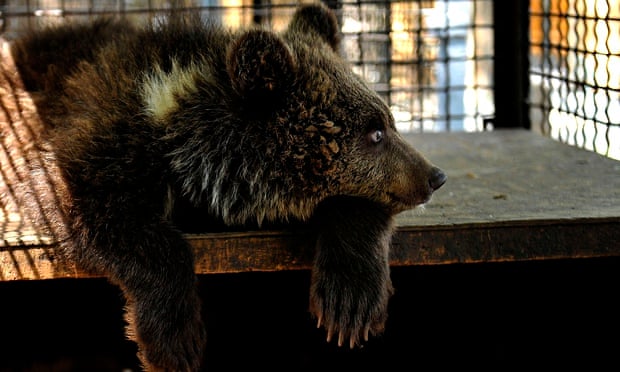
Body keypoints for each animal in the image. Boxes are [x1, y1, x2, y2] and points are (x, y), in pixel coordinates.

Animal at [9, 3, 446, 372]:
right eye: (375, 133)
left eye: (388, 121)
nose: (434, 176)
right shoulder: (101, 141)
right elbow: (98, 209)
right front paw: (173, 341)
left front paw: (349, 303)